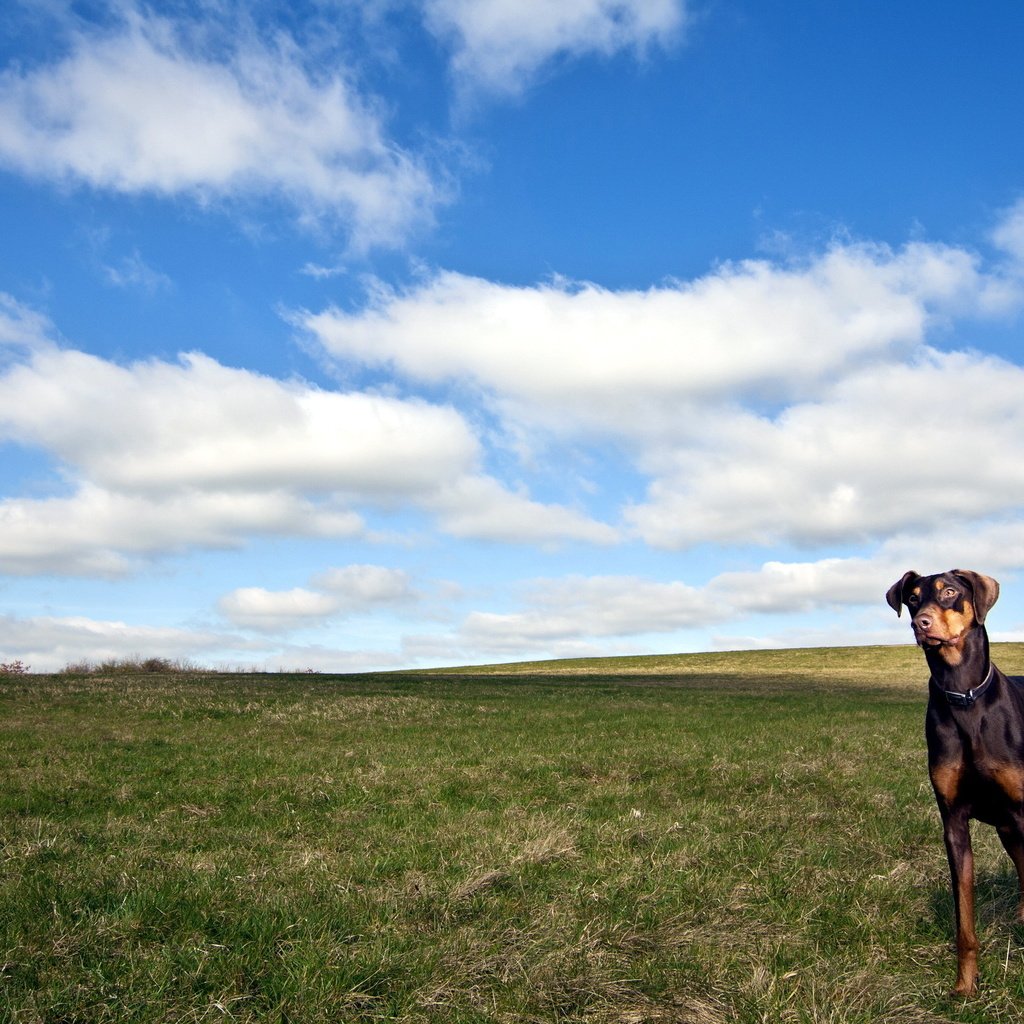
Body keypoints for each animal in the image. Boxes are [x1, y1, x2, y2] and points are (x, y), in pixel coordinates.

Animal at [884, 569, 1024, 991]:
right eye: (913, 598)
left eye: (949, 591)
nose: (921, 623)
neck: (964, 697)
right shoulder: (954, 822)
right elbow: (964, 921)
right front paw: (965, 985)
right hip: (1007, 828)